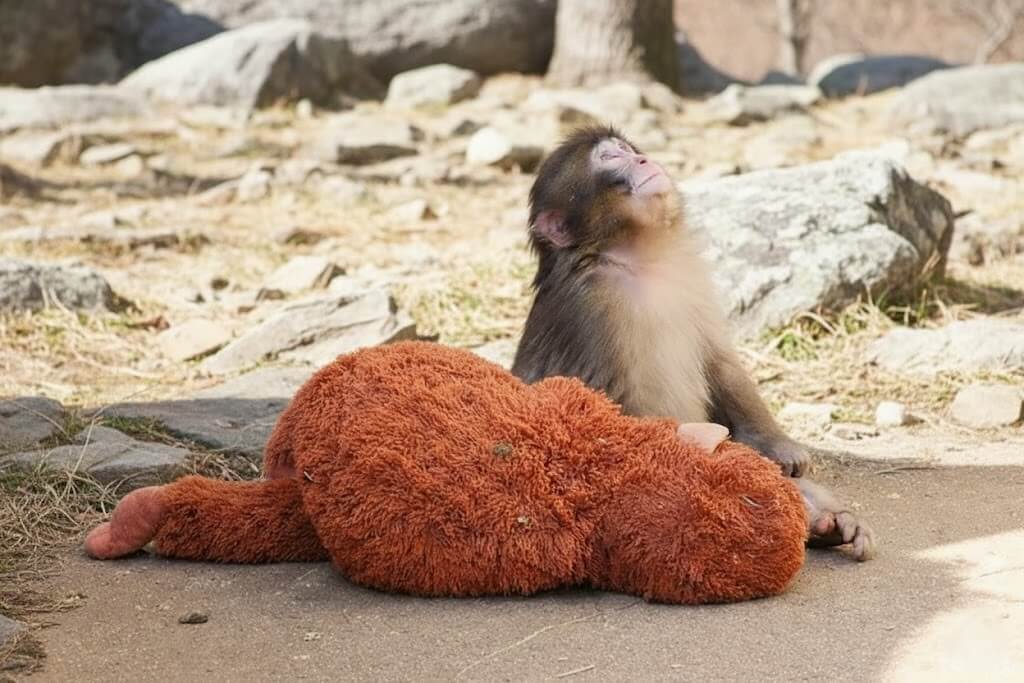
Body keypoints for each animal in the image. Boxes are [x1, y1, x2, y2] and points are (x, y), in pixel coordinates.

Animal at [512, 126, 875, 560]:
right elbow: (601, 413)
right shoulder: (592, 310)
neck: (636, 260)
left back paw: (827, 522)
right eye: (610, 159)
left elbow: (721, 364)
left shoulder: (689, 276)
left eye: (627, 151)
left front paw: (780, 448)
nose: (644, 161)